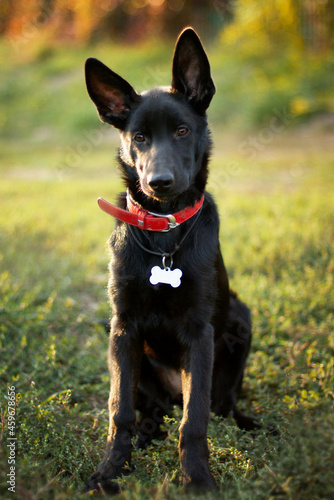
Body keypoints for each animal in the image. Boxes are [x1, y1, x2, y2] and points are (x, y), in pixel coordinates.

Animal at [85, 27, 258, 492]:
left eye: (182, 130)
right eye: (139, 138)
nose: (158, 182)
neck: (164, 235)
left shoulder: (200, 333)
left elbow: (194, 418)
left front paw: (196, 478)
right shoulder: (123, 328)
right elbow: (119, 409)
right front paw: (112, 468)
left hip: (240, 317)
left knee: (219, 402)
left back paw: (247, 423)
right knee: (151, 411)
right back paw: (146, 435)